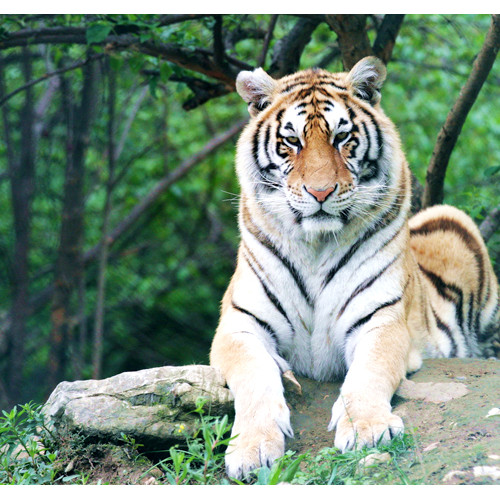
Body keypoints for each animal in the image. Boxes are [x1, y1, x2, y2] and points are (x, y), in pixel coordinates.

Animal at [209, 56, 498, 478]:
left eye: (341, 138)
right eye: (292, 141)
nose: (320, 192)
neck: (315, 246)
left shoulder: (380, 320)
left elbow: (368, 373)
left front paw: (367, 430)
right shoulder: (239, 325)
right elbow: (253, 376)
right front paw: (252, 449)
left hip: (453, 224)